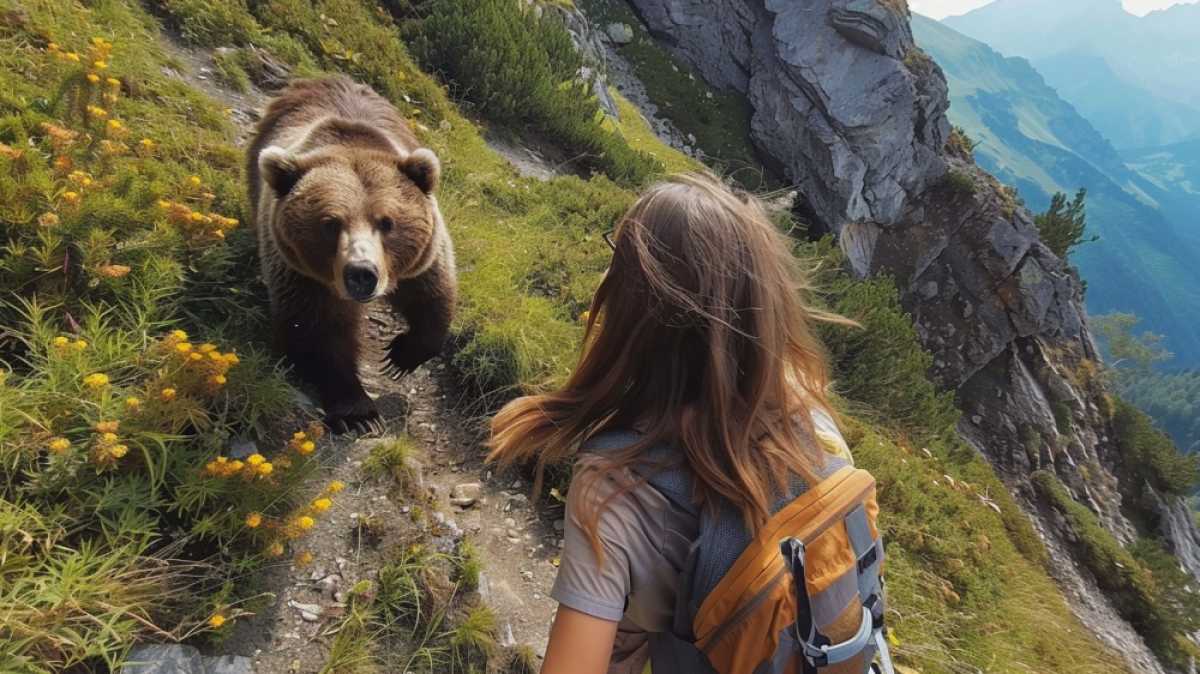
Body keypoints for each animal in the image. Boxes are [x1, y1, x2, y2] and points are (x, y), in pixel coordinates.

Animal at [246, 76, 456, 431]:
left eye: (387, 222)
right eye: (330, 223)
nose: (362, 273)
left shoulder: (422, 257)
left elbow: (432, 295)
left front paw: (400, 357)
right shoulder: (301, 274)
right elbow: (318, 330)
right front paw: (357, 411)